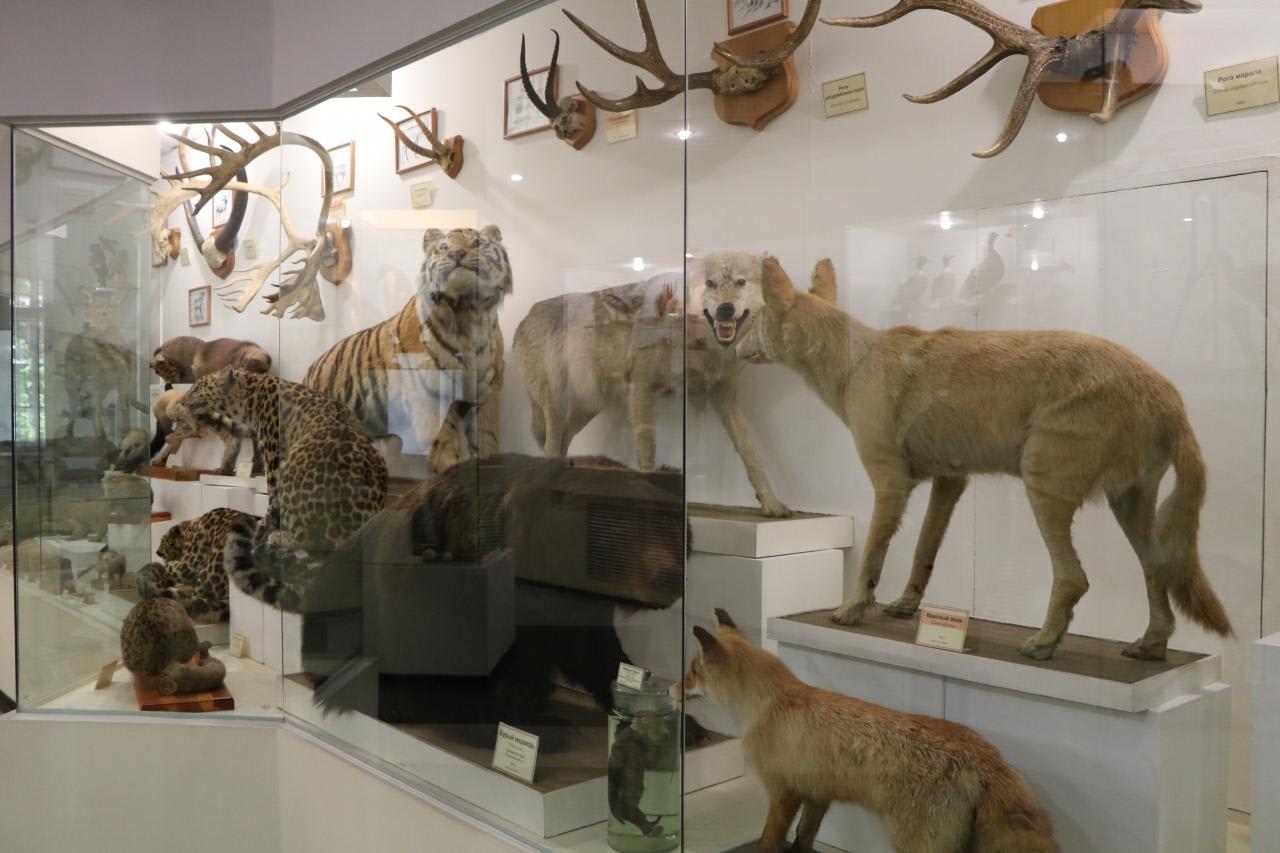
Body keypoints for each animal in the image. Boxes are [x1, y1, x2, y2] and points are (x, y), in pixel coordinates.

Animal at [172, 368, 388, 613]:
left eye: (198, 386)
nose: (181, 401)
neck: (250, 396)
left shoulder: (274, 455)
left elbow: (272, 497)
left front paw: (263, 527)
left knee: (311, 544)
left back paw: (281, 537)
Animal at [513, 251, 793, 516]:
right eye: (710, 283)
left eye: (740, 282)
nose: (725, 309)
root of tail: (525, 317)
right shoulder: (641, 388)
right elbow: (647, 450)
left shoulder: (724, 397)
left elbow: (750, 452)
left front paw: (771, 503)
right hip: (557, 405)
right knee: (550, 444)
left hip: (587, 407)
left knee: (563, 439)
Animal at [679, 609, 1058, 853]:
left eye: (693, 671)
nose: (670, 689)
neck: (772, 703)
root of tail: (988, 757)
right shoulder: (817, 795)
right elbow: (803, 839)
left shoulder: (783, 791)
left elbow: (768, 843)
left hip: (921, 844)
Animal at [739, 256, 1232, 661]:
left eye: (754, 315)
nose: (732, 343)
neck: (855, 361)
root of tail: (1170, 401)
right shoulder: (948, 481)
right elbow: (923, 550)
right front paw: (906, 605)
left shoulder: (890, 482)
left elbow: (874, 556)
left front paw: (852, 609)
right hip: (1129, 504)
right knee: (1157, 568)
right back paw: (1149, 644)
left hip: (1043, 490)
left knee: (1075, 578)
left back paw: (1043, 643)